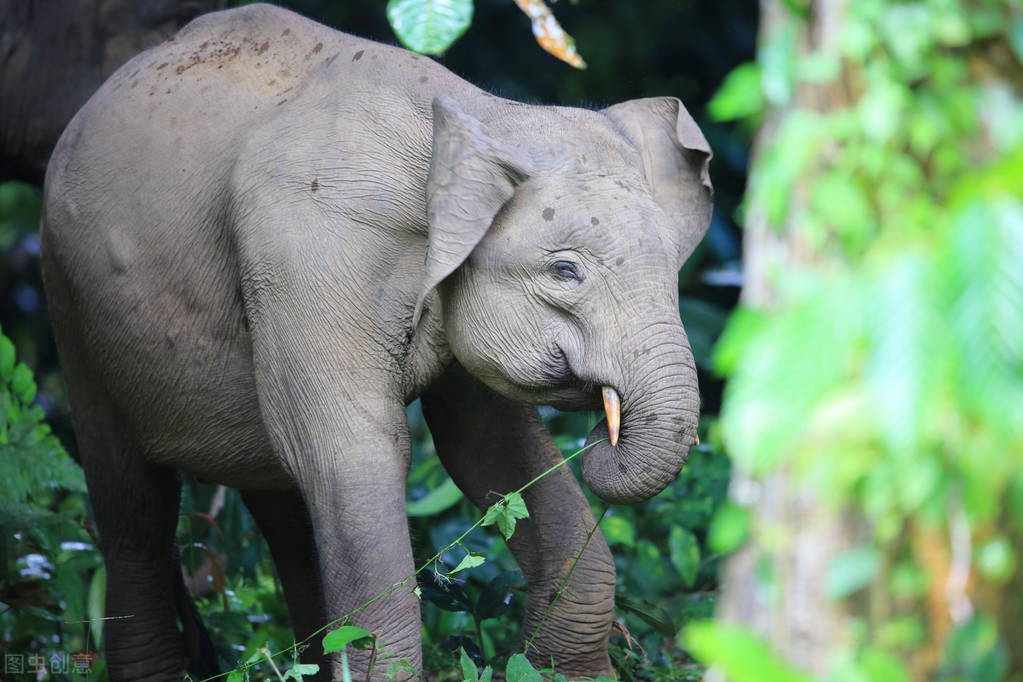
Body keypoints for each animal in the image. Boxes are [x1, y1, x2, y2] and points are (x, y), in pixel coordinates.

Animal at [37, 3, 712, 678]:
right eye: (565, 271)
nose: (602, 435)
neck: (475, 114)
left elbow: (488, 449)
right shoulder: (308, 251)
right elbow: (352, 451)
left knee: (284, 509)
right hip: (71, 305)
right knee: (135, 509)